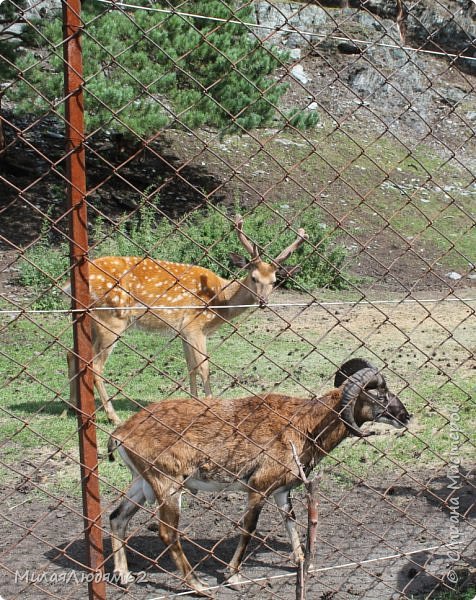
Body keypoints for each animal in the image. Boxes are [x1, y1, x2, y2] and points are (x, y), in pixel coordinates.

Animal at [65, 216, 306, 422]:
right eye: (254, 277)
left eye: (274, 281)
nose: (263, 301)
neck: (221, 300)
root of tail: (70, 285)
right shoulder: (195, 325)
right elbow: (204, 367)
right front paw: (209, 404)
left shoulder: (183, 330)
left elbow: (190, 366)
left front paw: (194, 402)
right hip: (111, 319)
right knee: (95, 366)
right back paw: (112, 416)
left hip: (92, 321)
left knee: (72, 354)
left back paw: (71, 407)